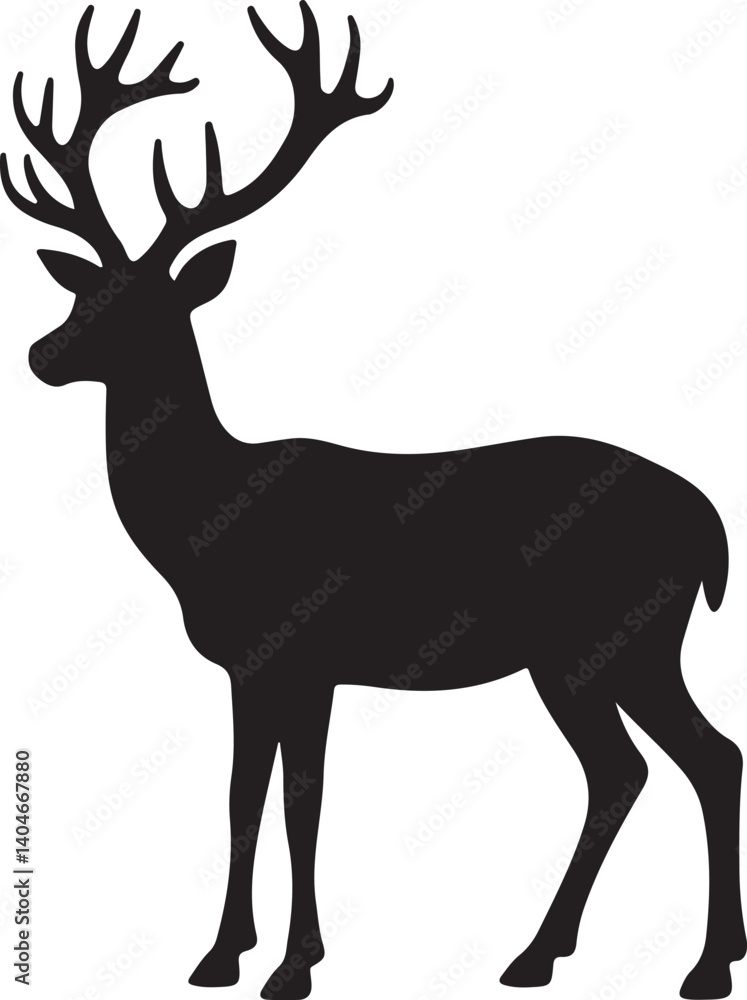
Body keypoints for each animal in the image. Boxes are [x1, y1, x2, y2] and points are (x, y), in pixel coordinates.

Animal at [3, 3, 745, 999]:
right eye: (86, 290)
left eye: (149, 306)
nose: (41, 354)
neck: (205, 528)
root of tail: (709, 523)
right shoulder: (252, 667)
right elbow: (243, 797)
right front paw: (224, 954)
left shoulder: (301, 653)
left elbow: (300, 803)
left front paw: (289, 965)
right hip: (590, 654)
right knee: (635, 769)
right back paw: (556, 953)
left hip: (615, 636)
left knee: (693, 759)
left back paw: (688, 965)